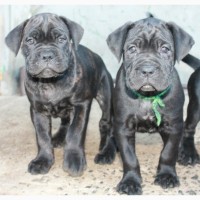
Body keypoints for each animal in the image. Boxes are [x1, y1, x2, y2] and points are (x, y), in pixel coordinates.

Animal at [5, 12, 116, 176]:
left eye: (61, 39)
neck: (51, 82)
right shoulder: (38, 110)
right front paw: (43, 160)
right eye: (30, 40)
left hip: (106, 98)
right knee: (65, 121)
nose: (46, 55)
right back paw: (58, 138)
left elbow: (75, 132)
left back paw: (106, 151)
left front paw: (74, 159)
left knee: (106, 124)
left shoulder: (81, 105)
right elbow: (42, 137)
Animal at [108, 16, 194, 194]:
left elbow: (168, 152)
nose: (147, 69)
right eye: (132, 48)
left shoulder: (174, 125)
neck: (148, 96)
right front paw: (130, 182)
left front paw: (167, 176)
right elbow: (129, 157)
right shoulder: (123, 127)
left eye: (165, 49)